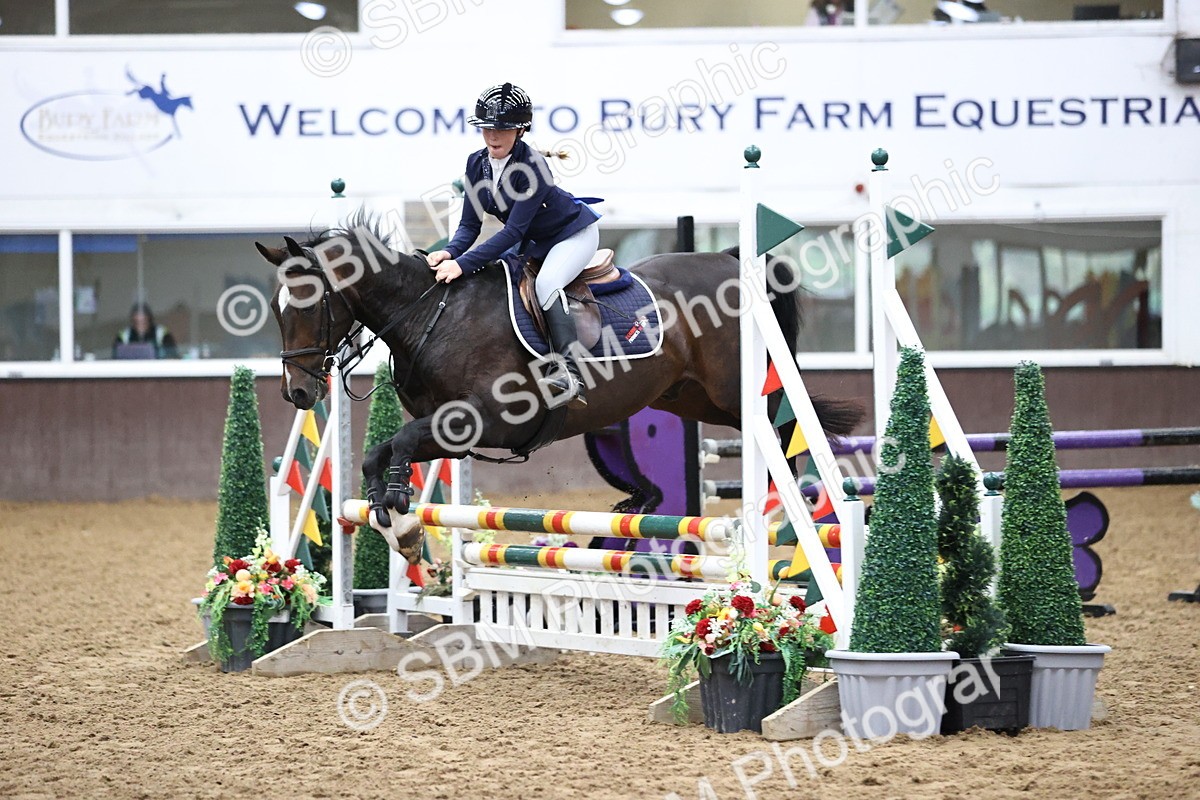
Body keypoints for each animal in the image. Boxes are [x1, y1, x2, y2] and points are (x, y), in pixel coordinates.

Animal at [256, 216, 863, 562]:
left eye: (308, 303)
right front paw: (401, 528)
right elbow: (379, 455)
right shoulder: (449, 433)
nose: (297, 394)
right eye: (278, 308)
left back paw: (805, 513)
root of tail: (728, 261)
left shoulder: (482, 420)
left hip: (734, 394)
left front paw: (402, 519)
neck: (431, 315)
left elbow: (398, 445)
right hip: (690, 397)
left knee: (785, 431)